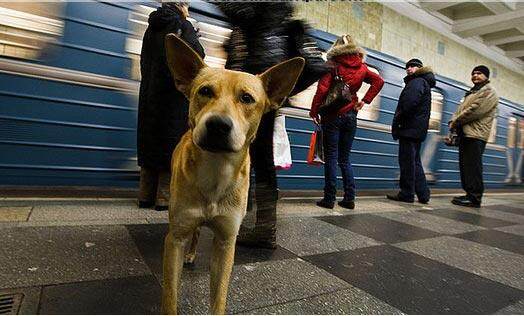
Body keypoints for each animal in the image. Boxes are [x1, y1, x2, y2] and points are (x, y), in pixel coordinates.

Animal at [162, 33, 304, 314]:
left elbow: (219, 297)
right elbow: (170, 296)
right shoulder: (175, 238)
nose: (218, 125)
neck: (215, 172)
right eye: (205, 91)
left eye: (247, 98)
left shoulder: (226, 242)